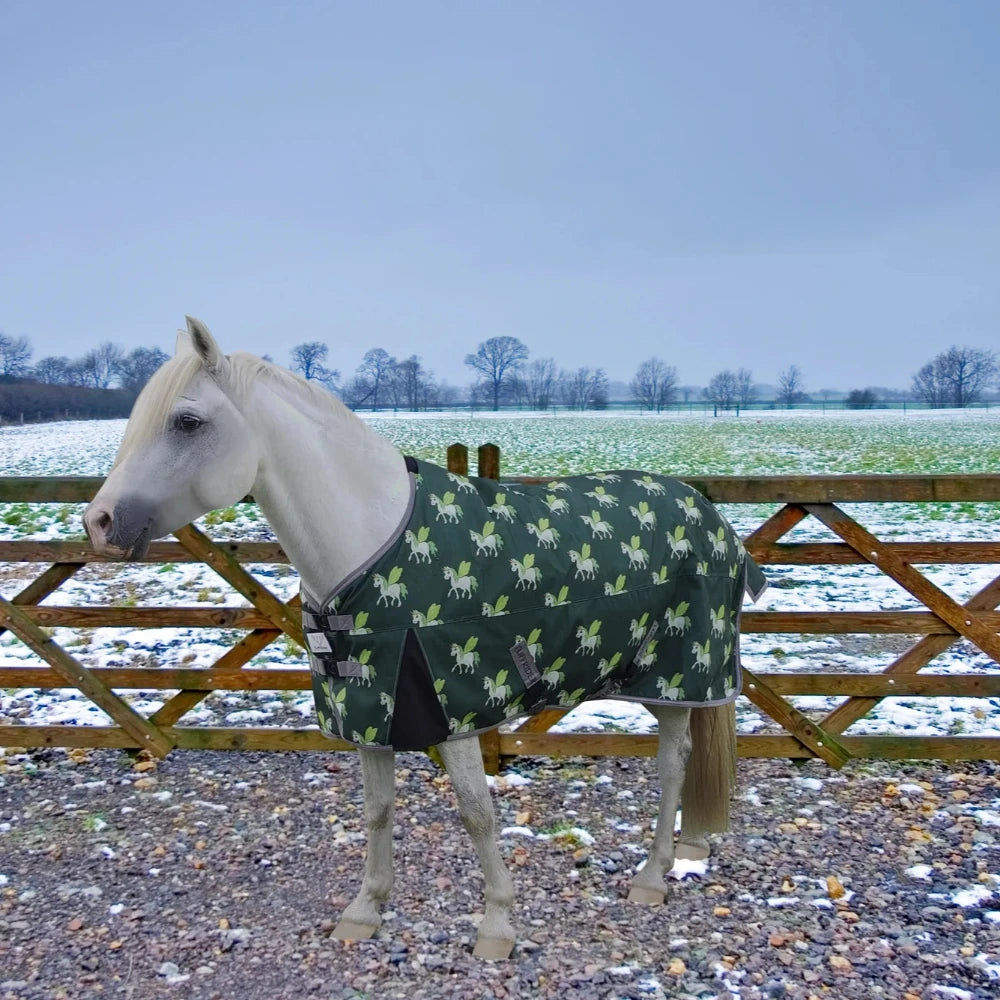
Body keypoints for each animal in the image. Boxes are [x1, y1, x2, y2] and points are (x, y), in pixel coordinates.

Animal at [84, 317, 763, 961]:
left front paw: (497, 926)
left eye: (187, 421)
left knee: (672, 764)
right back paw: (681, 856)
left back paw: (651, 877)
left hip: (679, 675)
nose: (100, 522)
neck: (368, 543)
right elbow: (378, 810)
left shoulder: (452, 710)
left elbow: (477, 813)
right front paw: (365, 911)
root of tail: (713, 518)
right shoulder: (371, 711)